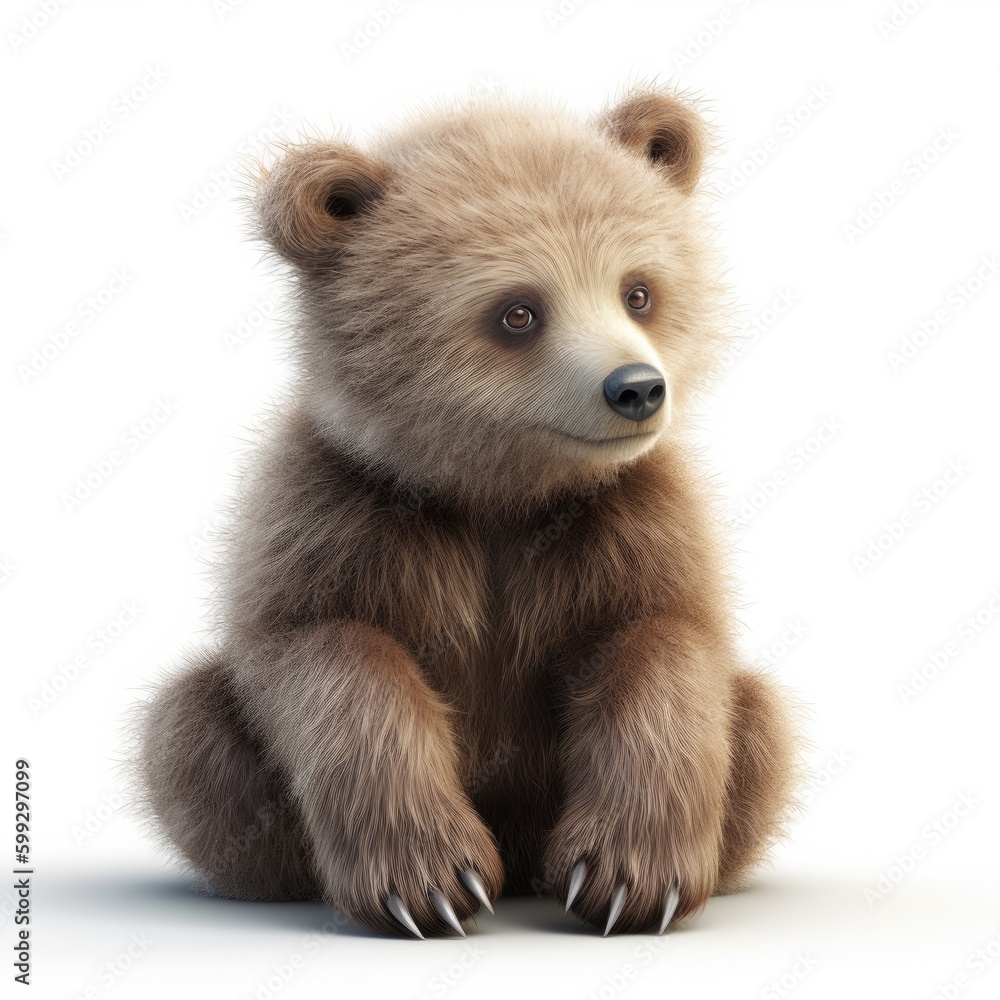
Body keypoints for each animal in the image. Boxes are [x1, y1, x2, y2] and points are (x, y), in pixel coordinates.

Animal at [135, 86, 800, 939]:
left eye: (638, 290)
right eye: (518, 312)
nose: (636, 388)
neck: (502, 495)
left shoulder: (627, 520)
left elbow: (664, 642)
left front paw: (625, 876)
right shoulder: (339, 513)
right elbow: (324, 651)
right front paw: (430, 883)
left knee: (761, 724)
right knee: (186, 734)